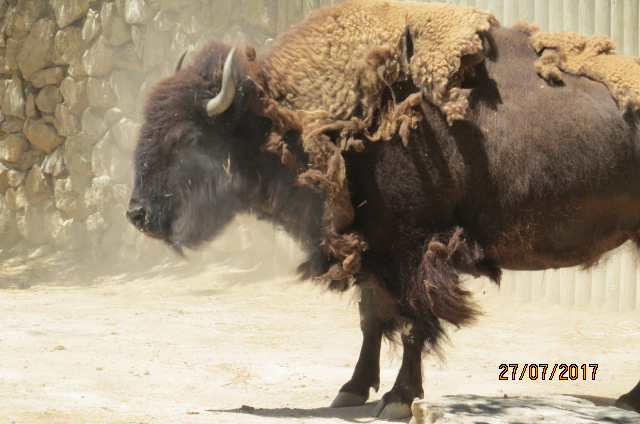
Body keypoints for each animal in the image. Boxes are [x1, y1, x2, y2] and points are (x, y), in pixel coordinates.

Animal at [127, 1, 640, 419]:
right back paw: (628, 398)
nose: (137, 215)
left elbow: (415, 321)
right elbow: (372, 317)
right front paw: (352, 389)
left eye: (188, 138)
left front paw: (397, 399)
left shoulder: (415, 248)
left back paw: (627, 398)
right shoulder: (373, 245)